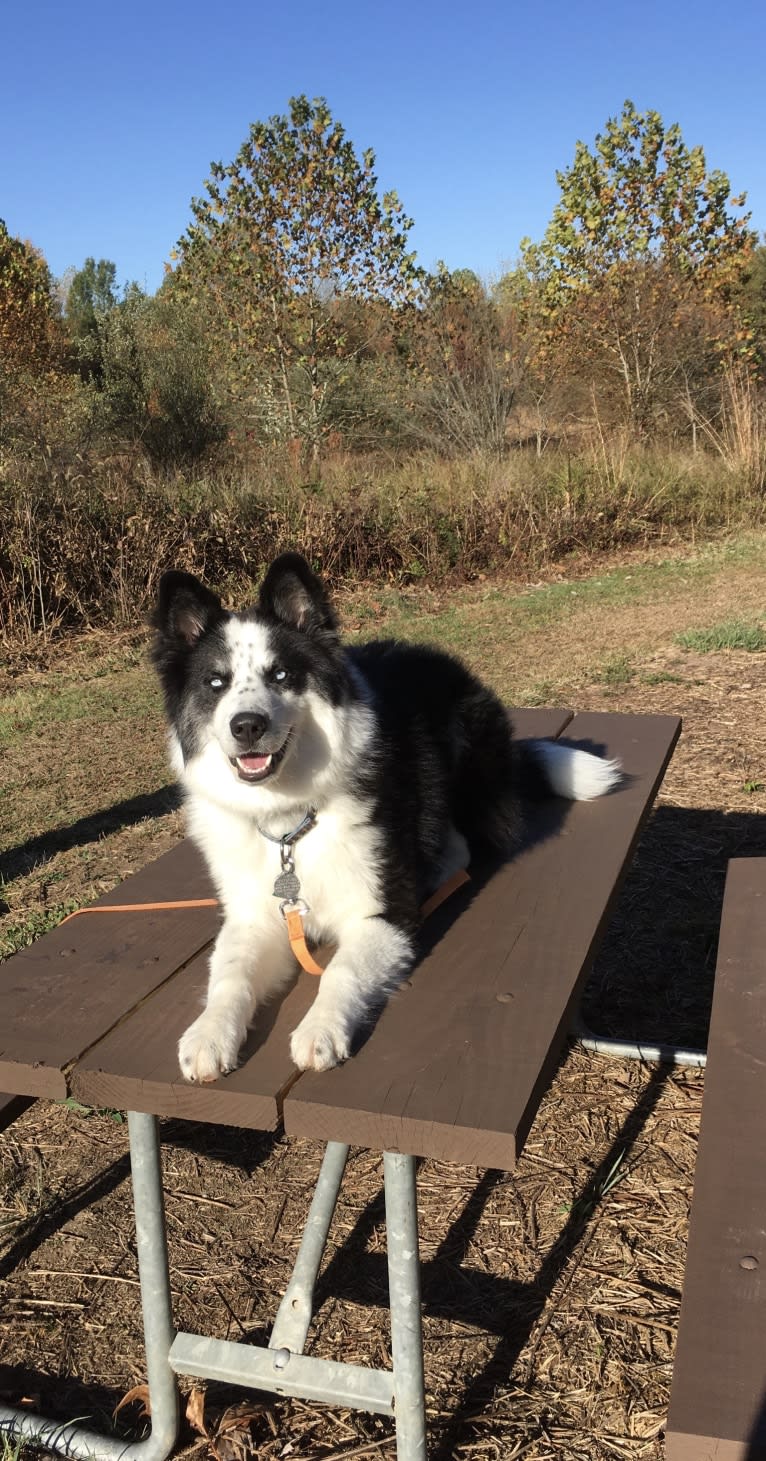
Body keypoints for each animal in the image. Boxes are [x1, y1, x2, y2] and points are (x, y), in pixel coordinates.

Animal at [151, 552, 622, 1081]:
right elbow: (230, 974)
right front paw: (209, 1033)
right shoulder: (254, 914)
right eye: (216, 682)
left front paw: (321, 1029)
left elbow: (341, 970)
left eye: (281, 676)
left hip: (464, 752)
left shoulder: (384, 912)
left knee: (466, 835)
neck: (289, 819)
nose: (247, 726)